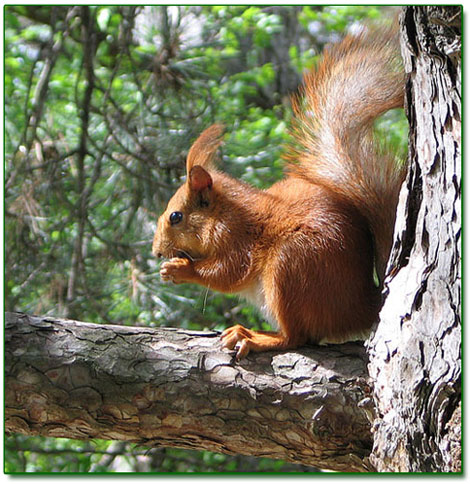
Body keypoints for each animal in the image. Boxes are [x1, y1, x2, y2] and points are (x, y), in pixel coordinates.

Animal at [152, 26, 406, 360]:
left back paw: (256, 337)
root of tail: (359, 308)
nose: (156, 252)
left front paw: (180, 269)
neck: (225, 212)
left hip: (290, 266)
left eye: (176, 217)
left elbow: (228, 273)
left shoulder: (238, 239)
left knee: (296, 337)